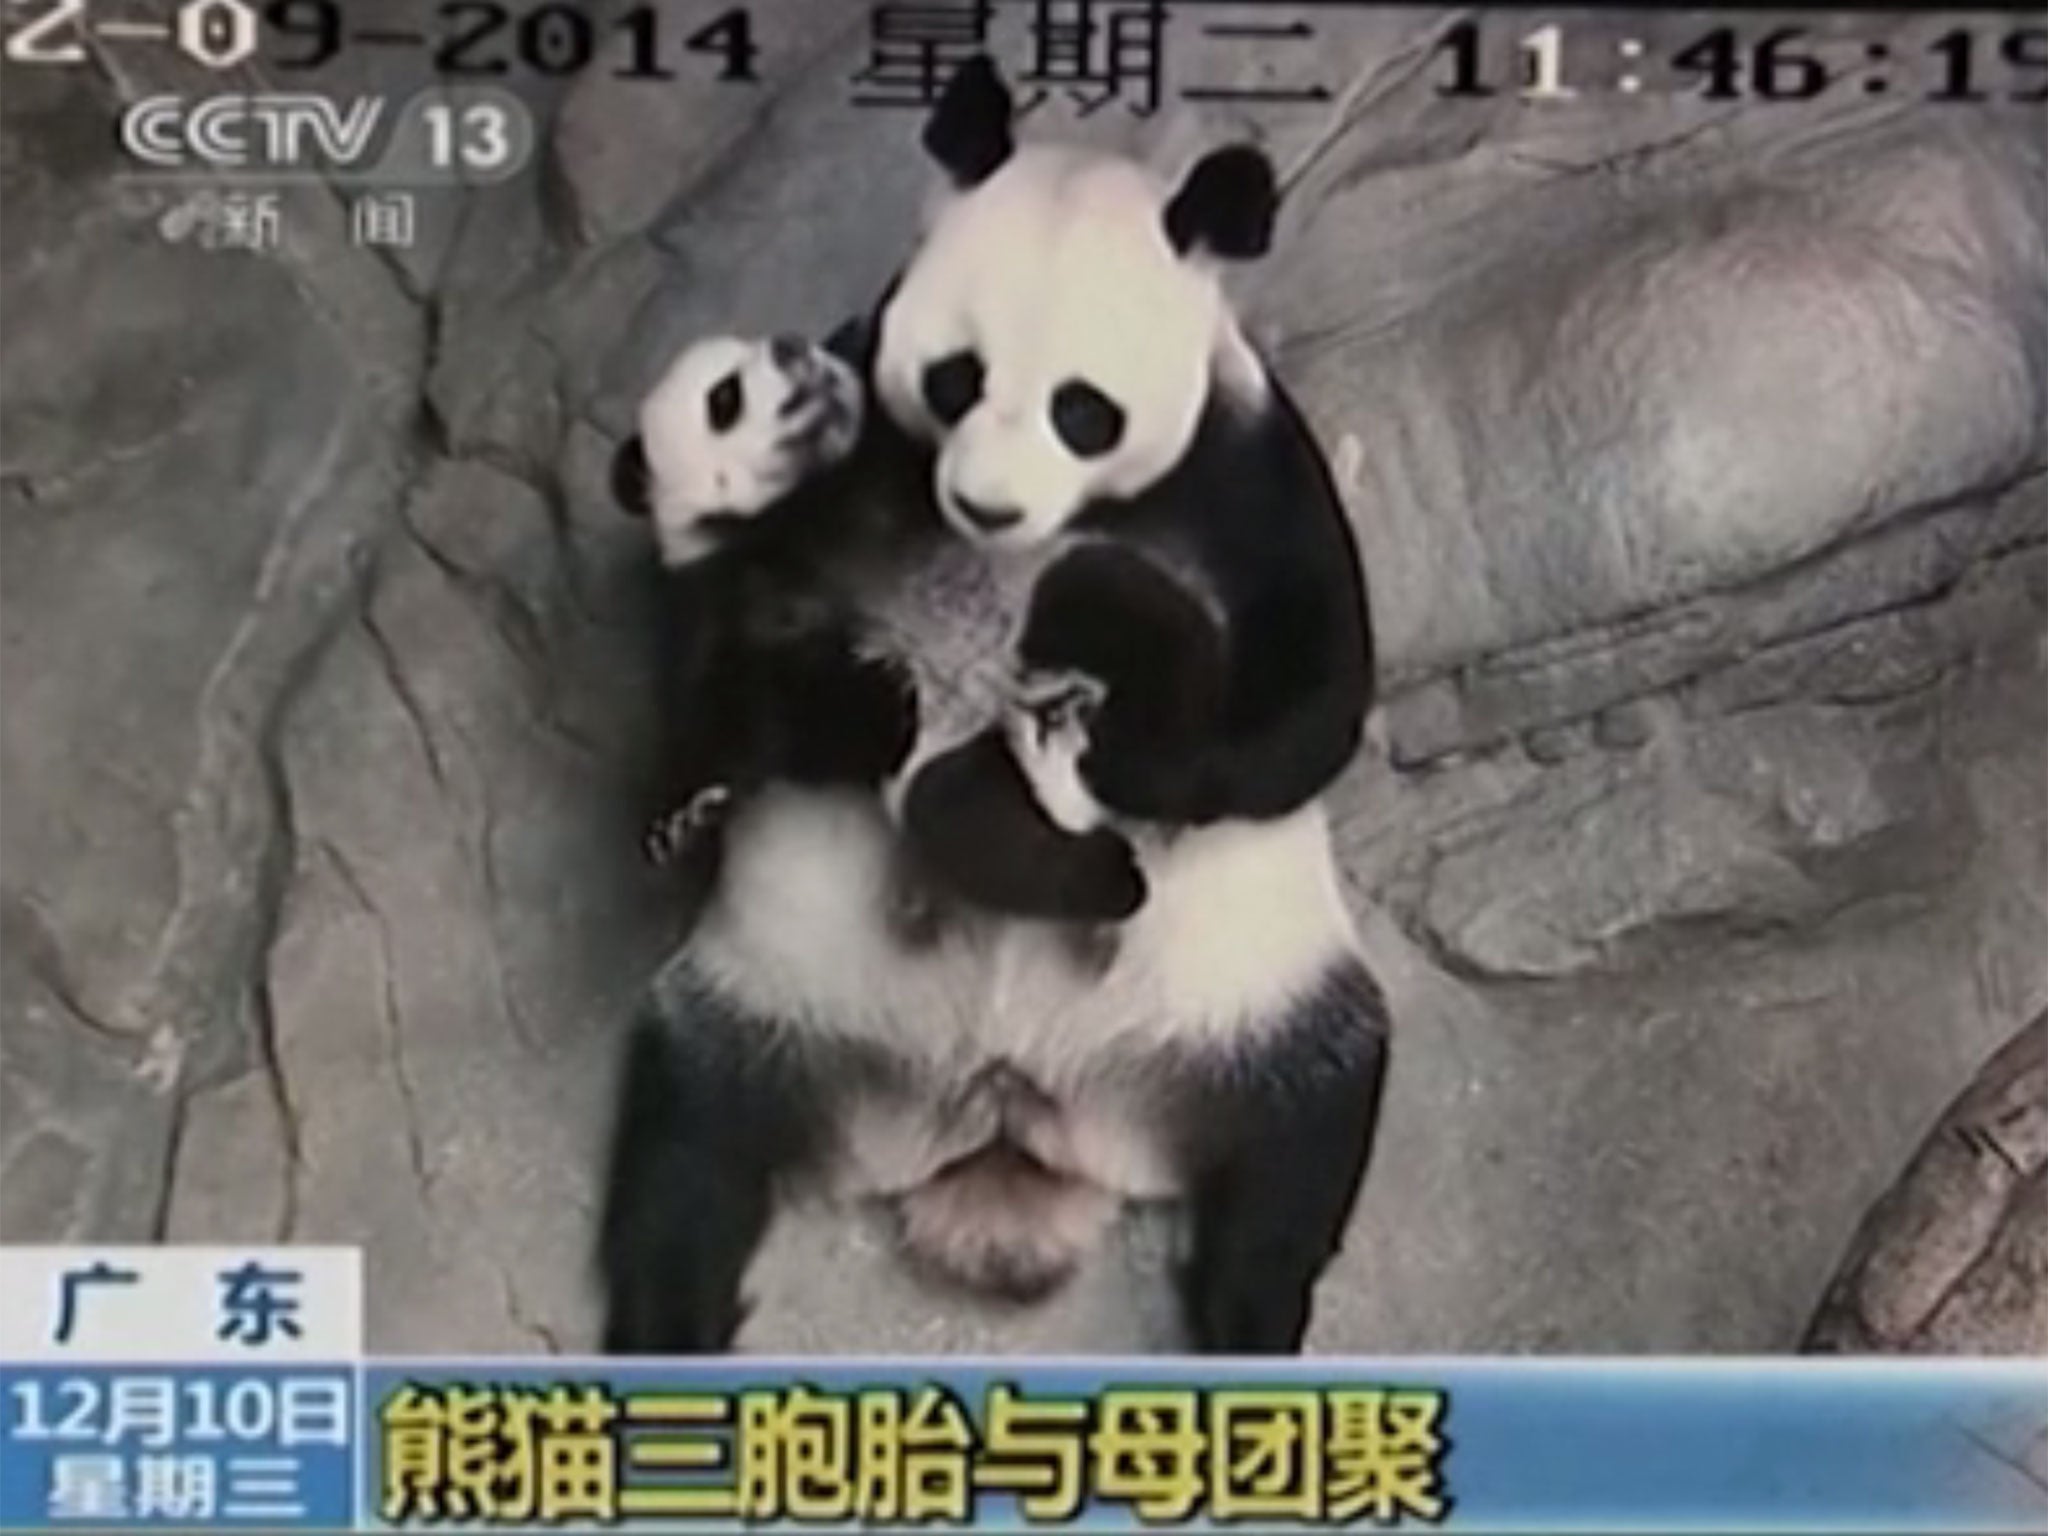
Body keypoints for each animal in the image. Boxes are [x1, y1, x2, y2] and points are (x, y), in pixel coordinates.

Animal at [598, 60, 1392, 1359]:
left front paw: (1138, 762)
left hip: (1253, 1004)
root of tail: (1009, 1109)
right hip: (764, 1005)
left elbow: (1315, 686)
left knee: (1301, 1145)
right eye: (954, 377)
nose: (987, 505)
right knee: (687, 1153)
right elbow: (730, 689)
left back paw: (1247, 1311)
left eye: (1083, 409)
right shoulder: (806, 529)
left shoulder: (1243, 475)